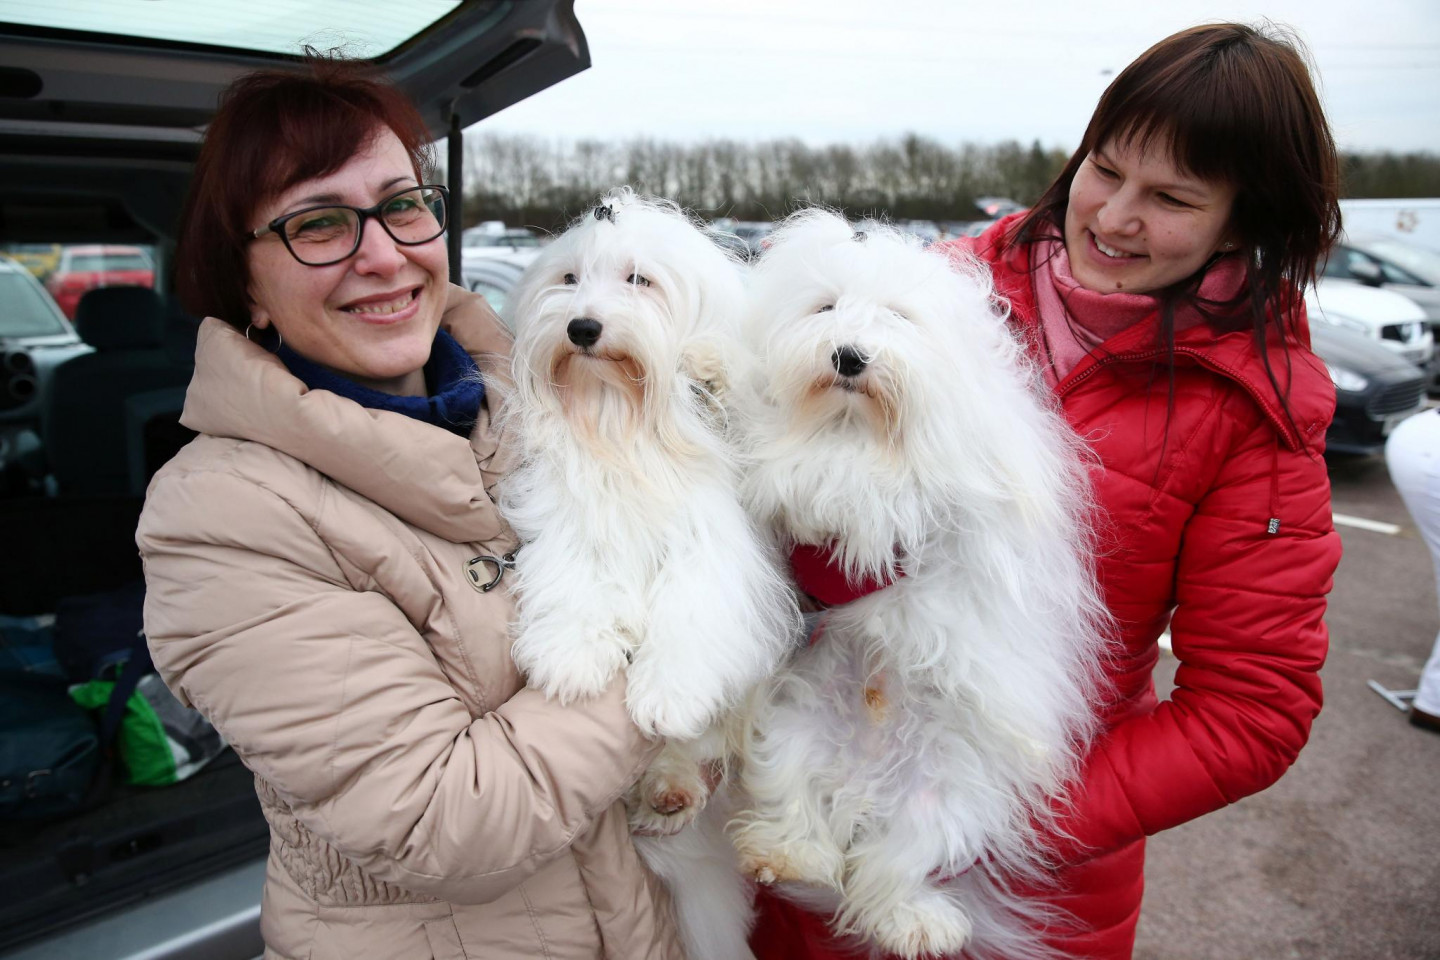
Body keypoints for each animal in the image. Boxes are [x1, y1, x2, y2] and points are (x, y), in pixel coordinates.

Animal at [500, 188, 800, 960]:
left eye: (639, 280)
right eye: (569, 279)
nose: (582, 327)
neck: (619, 419)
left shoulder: (716, 547)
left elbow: (693, 613)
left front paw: (666, 693)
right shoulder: (571, 520)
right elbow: (574, 579)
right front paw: (570, 659)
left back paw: (671, 786)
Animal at [728, 210, 1109, 960]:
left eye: (898, 317)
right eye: (825, 308)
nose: (849, 357)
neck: (853, 429)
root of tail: (861, 792)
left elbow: (907, 488)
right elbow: (788, 462)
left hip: (951, 802)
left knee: (892, 871)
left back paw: (916, 923)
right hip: (791, 732)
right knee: (804, 819)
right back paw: (791, 857)